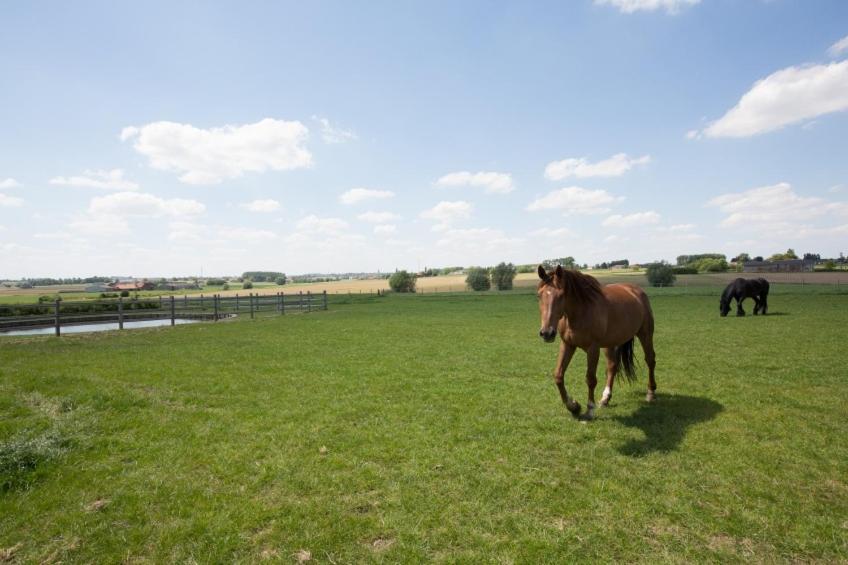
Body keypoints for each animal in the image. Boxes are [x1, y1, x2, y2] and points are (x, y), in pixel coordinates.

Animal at [536, 264, 656, 418]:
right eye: (539, 295)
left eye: (561, 295)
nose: (547, 333)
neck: (580, 312)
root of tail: (636, 291)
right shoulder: (568, 345)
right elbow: (558, 375)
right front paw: (573, 406)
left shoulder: (593, 348)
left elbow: (590, 379)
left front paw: (589, 409)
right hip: (610, 343)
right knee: (612, 366)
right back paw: (605, 399)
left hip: (645, 334)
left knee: (650, 360)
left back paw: (651, 393)